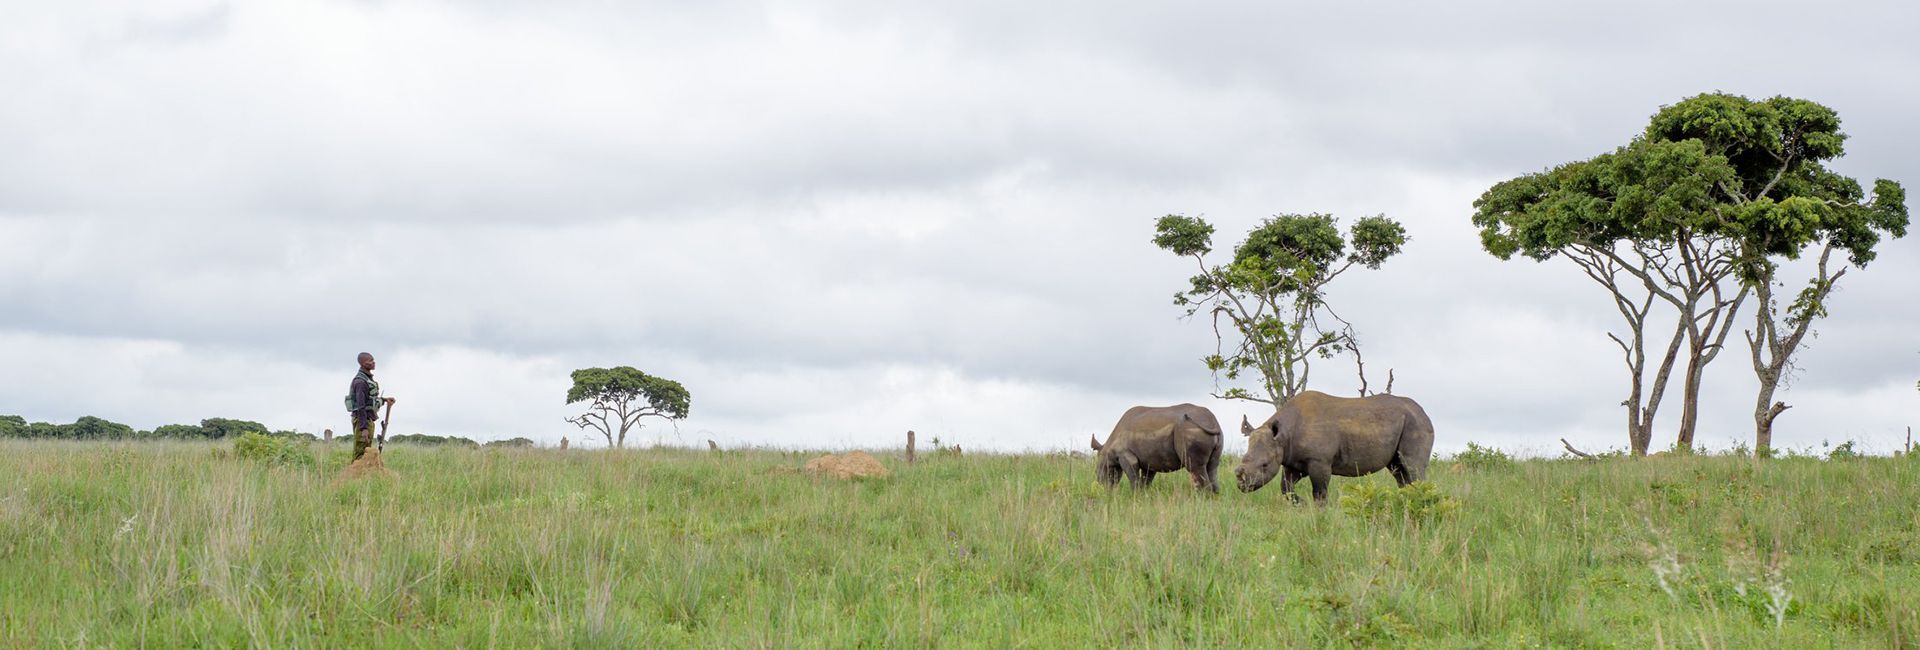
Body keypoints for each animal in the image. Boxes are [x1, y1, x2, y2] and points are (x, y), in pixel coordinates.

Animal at [1090, 404, 1224, 493]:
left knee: (1195, 468)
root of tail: (1213, 421)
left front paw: (1135, 496)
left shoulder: (1125, 455)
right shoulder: (1149, 461)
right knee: (1212, 468)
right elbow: (1146, 480)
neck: (1108, 449)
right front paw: (1143, 495)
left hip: (1189, 429)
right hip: (1213, 432)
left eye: (1098, 471)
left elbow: (1134, 478)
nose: (1102, 486)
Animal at [1233, 391, 1434, 505]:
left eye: (1265, 465)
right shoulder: (1291, 460)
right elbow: (1286, 489)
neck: (1283, 436)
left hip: (1416, 424)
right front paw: (1301, 503)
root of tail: (1424, 411)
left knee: (1412, 466)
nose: (1242, 485)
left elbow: (1320, 493)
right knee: (1399, 471)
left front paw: (1318, 512)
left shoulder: (1319, 461)